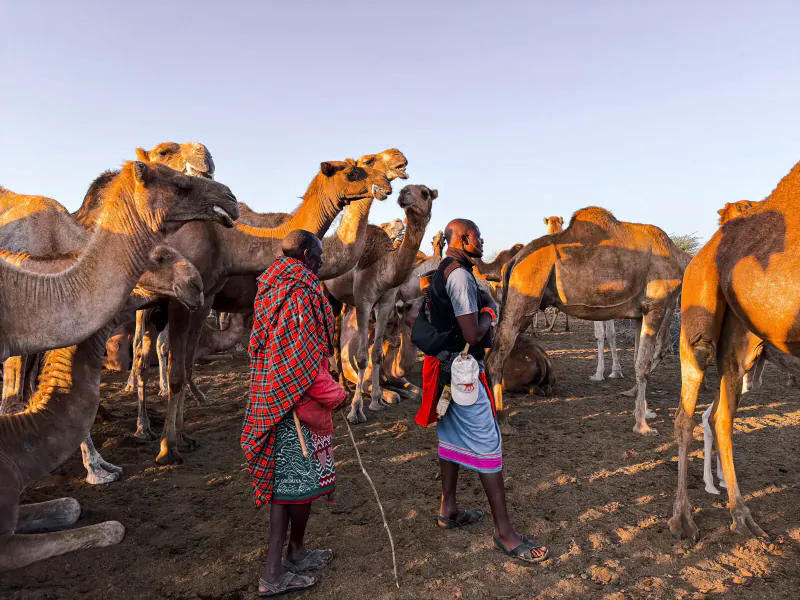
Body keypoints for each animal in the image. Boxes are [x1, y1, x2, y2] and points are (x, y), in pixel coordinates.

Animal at [79, 158, 391, 464]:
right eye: (352, 171)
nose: (385, 182)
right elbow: (179, 371)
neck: (230, 245)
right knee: (139, 359)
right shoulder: (183, 300)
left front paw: (184, 437)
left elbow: (188, 364)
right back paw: (137, 431)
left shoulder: (205, 299)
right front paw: (169, 448)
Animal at [325, 184, 437, 423]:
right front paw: (356, 410)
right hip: (329, 293)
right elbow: (361, 357)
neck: (384, 267)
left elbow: (376, 353)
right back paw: (342, 386)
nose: (403, 193)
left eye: (425, 192)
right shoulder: (363, 300)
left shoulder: (385, 302)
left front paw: (377, 402)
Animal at [487, 207, 690, 434]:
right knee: (497, 357)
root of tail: (514, 261)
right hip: (525, 293)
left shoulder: (640, 313)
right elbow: (643, 364)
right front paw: (643, 425)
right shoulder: (656, 306)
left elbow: (638, 359)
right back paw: (503, 421)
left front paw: (643, 409)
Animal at [668, 160, 800, 541]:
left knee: (720, 416)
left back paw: (740, 514)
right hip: (699, 315)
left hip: (744, 341)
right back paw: (684, 519)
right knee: (688, 412)